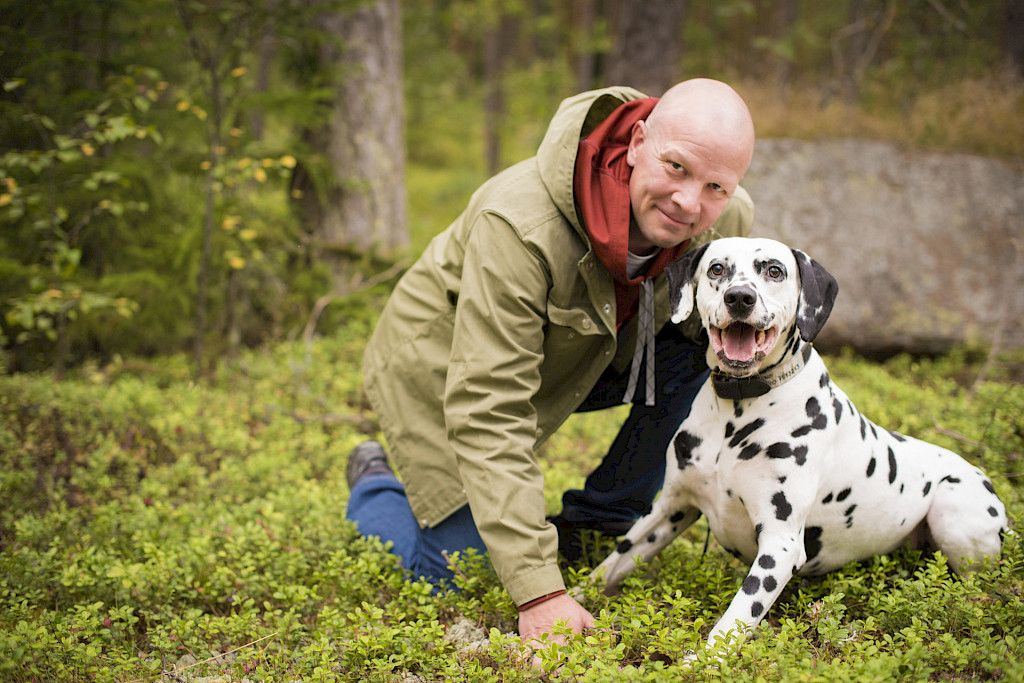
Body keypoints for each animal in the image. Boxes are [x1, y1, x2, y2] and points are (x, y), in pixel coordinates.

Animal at [598, 237, 1003, 651]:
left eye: (774, 271)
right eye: (716, 269)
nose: (739, 297)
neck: (738, 411)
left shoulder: (780, 545)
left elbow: (734, 620)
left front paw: (702, 660)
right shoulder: (669, 510)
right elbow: (608, 567)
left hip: (954, 512)